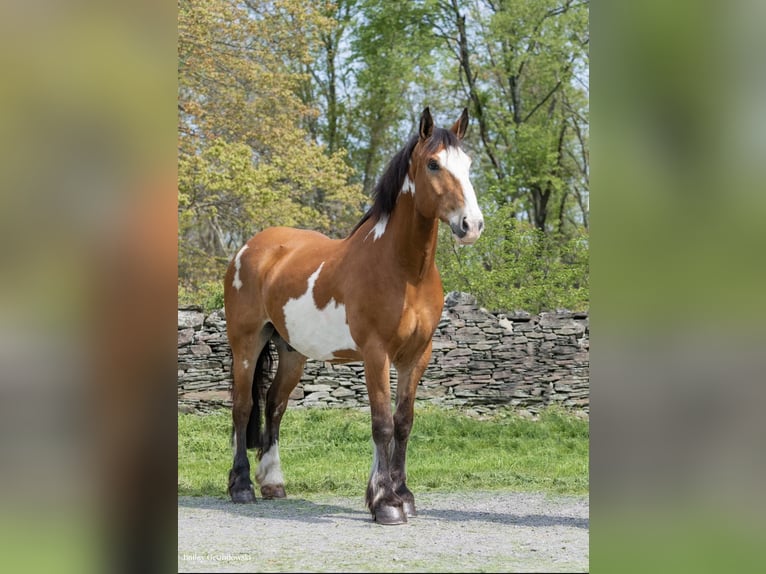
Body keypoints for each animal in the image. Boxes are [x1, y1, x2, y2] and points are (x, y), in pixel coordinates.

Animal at [224, 107, 486, 528]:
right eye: (433, 164)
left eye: (468, 163)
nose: (471, 225)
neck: (404, 271)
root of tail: (249, 248)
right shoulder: (376, 354)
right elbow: (381, 423)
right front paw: (385, 503)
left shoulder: (417, 356)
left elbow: (403, 422)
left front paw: (403, 495)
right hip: (246, 344)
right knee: (243, 406)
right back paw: (242, 486)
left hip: (292, 351)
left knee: (275, 405)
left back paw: (273, 483)